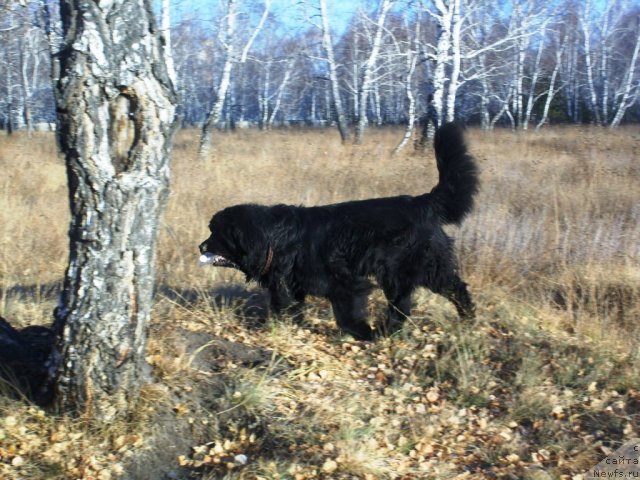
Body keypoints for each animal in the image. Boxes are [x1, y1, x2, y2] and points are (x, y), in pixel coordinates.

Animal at [201, 124, 480, 342]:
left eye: (216, 233)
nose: (200, 247)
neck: (274, 240)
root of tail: (424, 202)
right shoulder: (291, 285)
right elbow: (286, 307)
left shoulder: (345, 282)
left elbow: (346, 315)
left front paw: (363, 333)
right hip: (416, 270)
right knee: (431, 295)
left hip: (404, 268)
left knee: (427, 296)